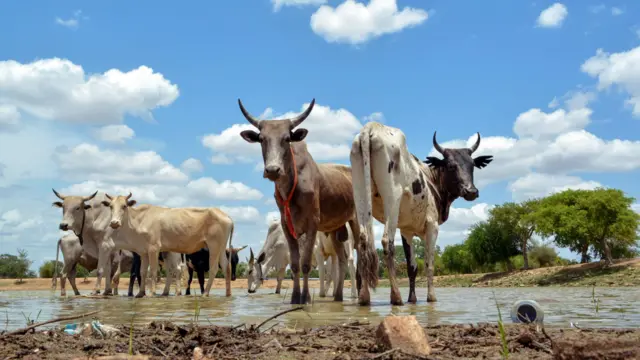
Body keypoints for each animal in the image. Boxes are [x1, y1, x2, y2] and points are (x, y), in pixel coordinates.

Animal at [102, 194, 235, 298]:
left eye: (124, 206)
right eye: (111, 206)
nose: (114, 223)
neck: (139, 220)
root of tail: (226, 216)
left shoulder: (154, 249)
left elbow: (153, 271)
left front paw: (151, 293)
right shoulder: (144, 252)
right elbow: (143, 272)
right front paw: (140, 293)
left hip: (214, 246)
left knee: (214, 268)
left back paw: (206, 293)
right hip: (221, 248)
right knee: (226, 266)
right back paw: (228, 294)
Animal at [350, 122, 496, 306]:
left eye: (472, 166)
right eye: (450, 165)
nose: (471, 191)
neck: (431, 179)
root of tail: (371, 128)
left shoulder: (406, 230)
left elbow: (412, 267)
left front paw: (412, 298)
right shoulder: (432, 226)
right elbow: (429, 263)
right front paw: (431, 297)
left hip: (360, 197)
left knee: (363, 242)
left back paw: (364, 297)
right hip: (392, 198)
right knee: (387, 242)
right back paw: (396, 296)